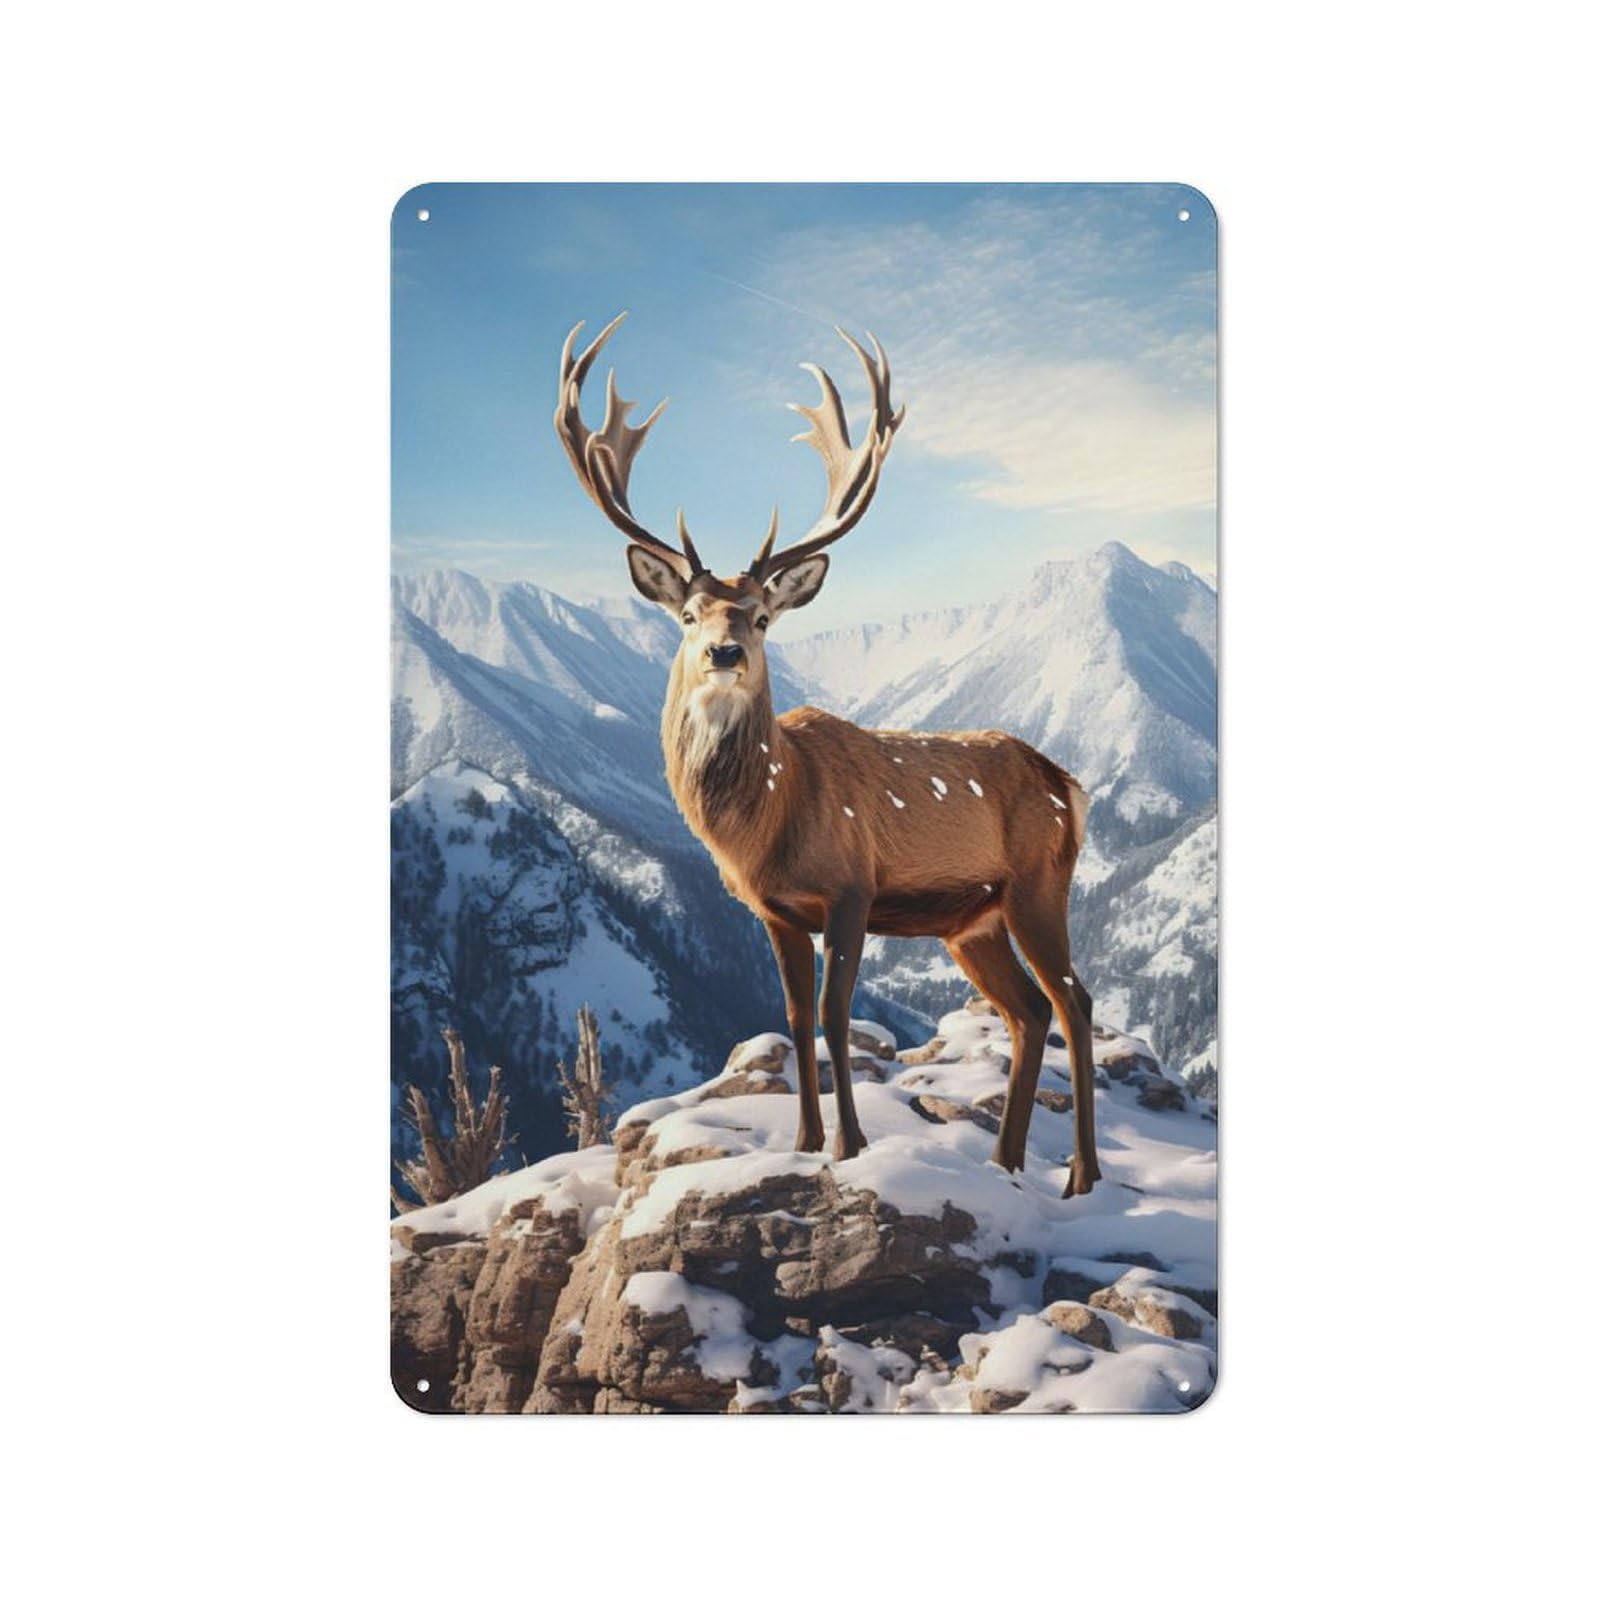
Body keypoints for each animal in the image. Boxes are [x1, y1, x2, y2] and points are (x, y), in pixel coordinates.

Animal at [552, 313, 1102, 1197]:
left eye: (761, 616)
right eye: (688, 615)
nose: (725, 653)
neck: (768, 823)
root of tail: (1069, 784)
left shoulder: (852, 887)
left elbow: (839, 1016)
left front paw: (851, 1143)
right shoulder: (774, 910)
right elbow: (793, 1014)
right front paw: (806, 1139)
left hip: (1038, 883)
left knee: (1075, 1000)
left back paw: (1080, 1174)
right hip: (972, 920)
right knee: (1028, 1008)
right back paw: (1005, 1159)